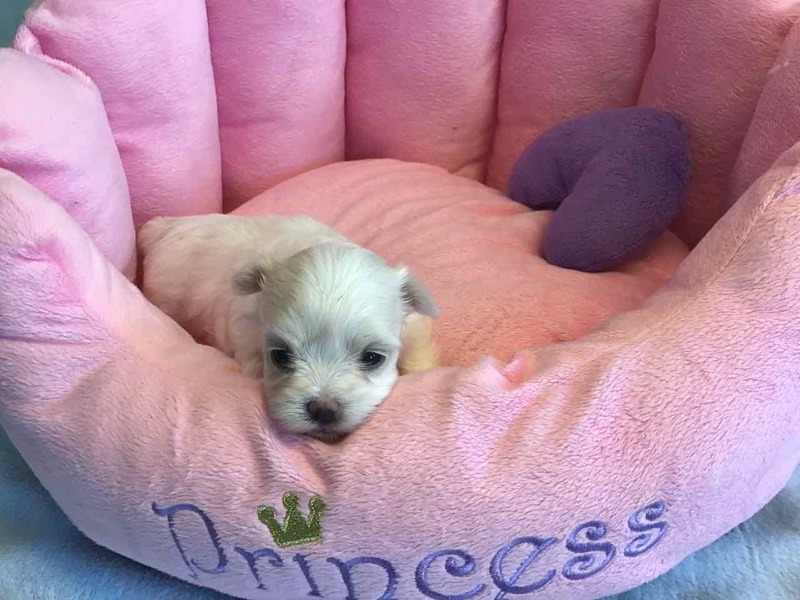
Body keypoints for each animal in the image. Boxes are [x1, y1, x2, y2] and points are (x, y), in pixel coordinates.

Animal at [138, 213, 439, 439]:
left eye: (372, 358)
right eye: (281, 356)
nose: (323, 410)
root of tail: (163, 227)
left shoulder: (413, 327)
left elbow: (416, 354)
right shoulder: (247, 337)